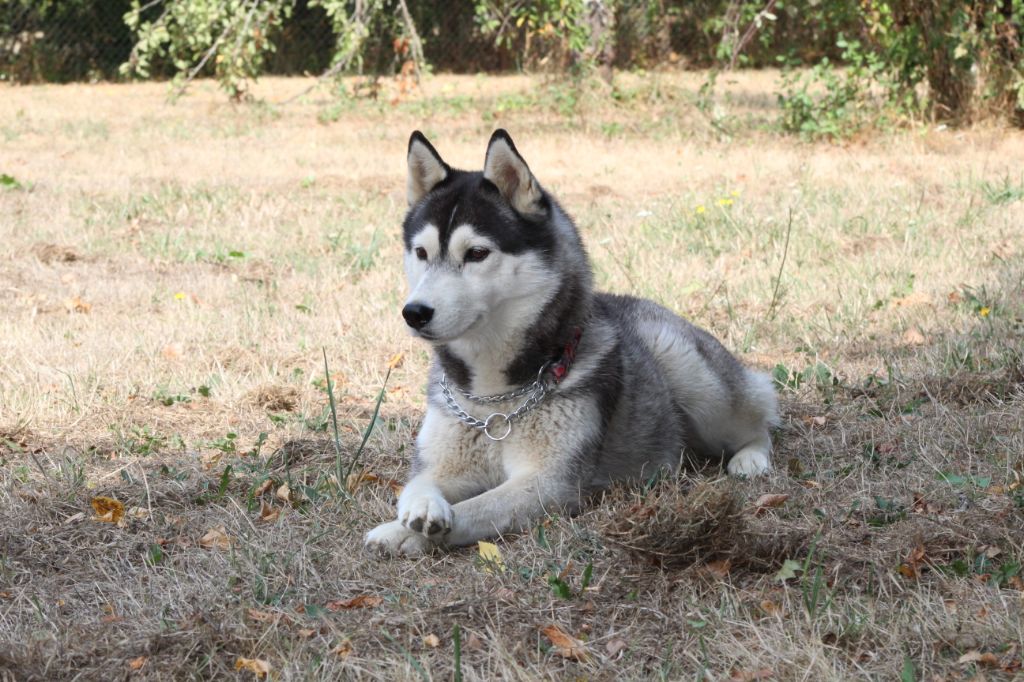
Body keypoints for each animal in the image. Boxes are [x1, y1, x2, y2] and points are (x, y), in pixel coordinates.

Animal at [364, 130, 779, 557]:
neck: (496, 401)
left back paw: (751, 460)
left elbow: (475, 509)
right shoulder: (442, 461)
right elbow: (415, 486)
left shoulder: (549, 484)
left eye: (477, 253)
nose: (414, 312)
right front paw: (418, 511)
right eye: (421, 252)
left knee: (761, 420)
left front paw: (401, 535)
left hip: (696, 379)